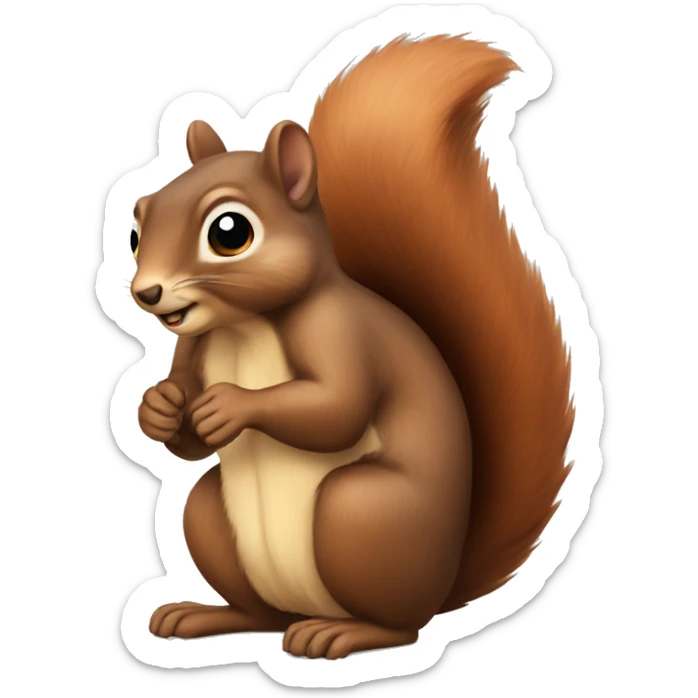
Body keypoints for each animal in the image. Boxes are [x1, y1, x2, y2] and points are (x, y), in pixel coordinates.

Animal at [130, 36, 573, 660]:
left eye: (228, 231)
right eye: (136, 229)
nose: (146, 292)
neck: (244, 325)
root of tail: (442, 583)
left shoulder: (339, 330)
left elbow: (337, 408)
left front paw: (231, 405)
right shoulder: (192, 348)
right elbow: (187, 444)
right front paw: (160, 407)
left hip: (359, 515)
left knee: (401, 626)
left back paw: (342, 632)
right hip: (212, 519)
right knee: (258, 611)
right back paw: (206, 615)